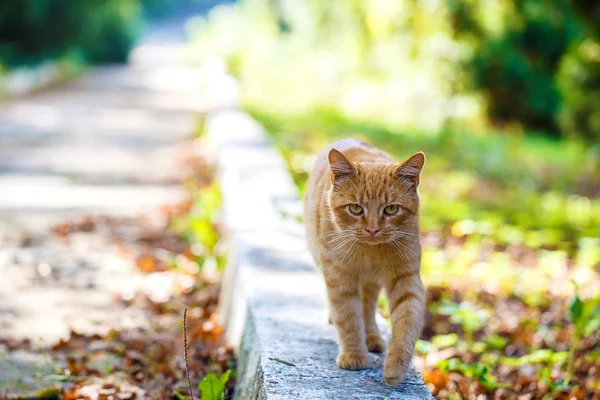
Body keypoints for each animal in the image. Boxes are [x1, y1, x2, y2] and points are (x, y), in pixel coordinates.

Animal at [304, 138, 426, 388]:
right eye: (355, 208)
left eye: (391, 209)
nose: (372, 229)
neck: (369, 252)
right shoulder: (339, 277)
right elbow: (348, 316)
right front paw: (353, 355)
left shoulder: (406, 279)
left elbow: (407, 321)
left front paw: (395, 367)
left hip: (371, 283)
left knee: (368, 307)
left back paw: (372, 337)